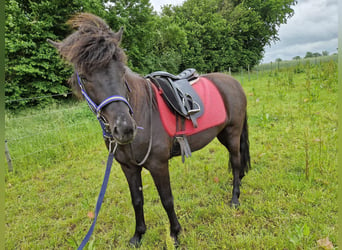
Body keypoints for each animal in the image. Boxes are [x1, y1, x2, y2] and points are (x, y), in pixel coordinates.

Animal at [47, 13, 251, 246]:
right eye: (84, 76)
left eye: (121, 70)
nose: (125, 128)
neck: (143, 109)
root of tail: (233, 82)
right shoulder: (128, 167)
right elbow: (137, 200)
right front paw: (138, 235)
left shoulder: (158, 165)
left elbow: (167, 199)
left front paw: (174, 234)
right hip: (223, 134)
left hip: (233, 133)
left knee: (236, 162)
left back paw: (234, 199)